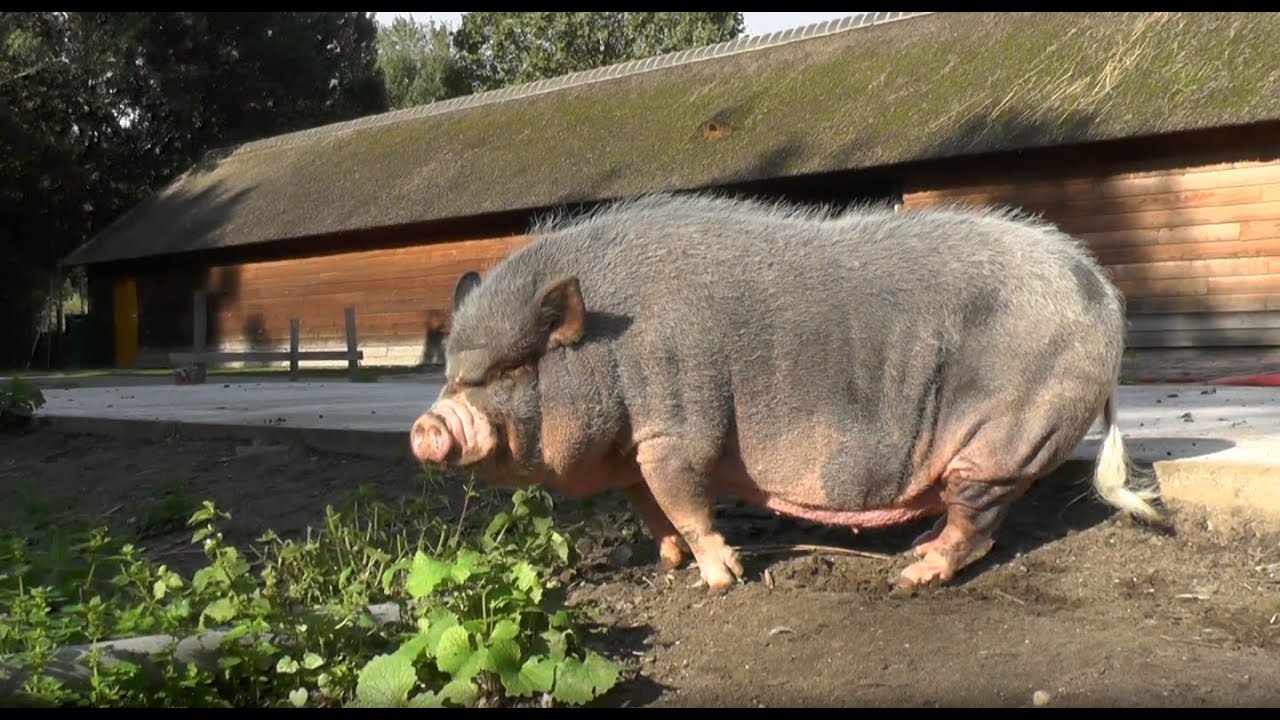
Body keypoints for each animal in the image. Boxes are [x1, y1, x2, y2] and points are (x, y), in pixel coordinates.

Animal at [409, 192, 1164, 592]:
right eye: (450, 371)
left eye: (508, 369)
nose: (425, 426)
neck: (610, 352)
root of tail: (1107, 302)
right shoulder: (632, 453)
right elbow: (649, 512)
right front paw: (665, 562)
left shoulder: (674, 434)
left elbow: (684, 502)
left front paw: (721, 579)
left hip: (1006, 439)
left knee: (978, 522)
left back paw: (914, 572)